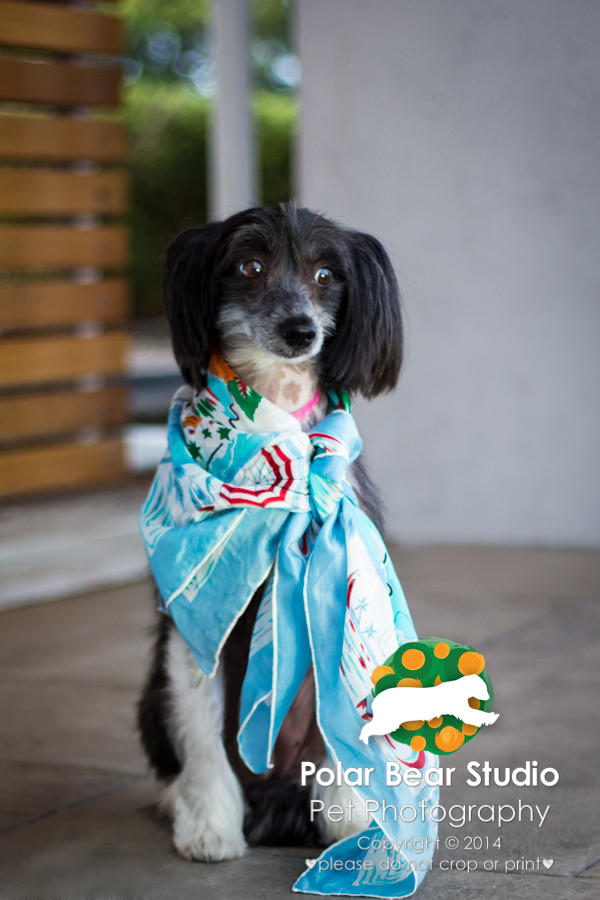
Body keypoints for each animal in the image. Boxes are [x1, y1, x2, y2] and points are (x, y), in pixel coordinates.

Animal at [137, 204, 404, 864]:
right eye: (249, 266)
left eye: (327, 274)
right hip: (151, 697)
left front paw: (352, 818)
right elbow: (202, 729)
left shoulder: (343, 589)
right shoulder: (191, 618)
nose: (299, 329)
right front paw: (210, 825)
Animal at [358, 676, 500, 744]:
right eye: (483, 688)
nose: (488, 697)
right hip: (388, 720)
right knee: (369, 728)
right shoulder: (459, 707)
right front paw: (491, 717)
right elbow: (474, 714)